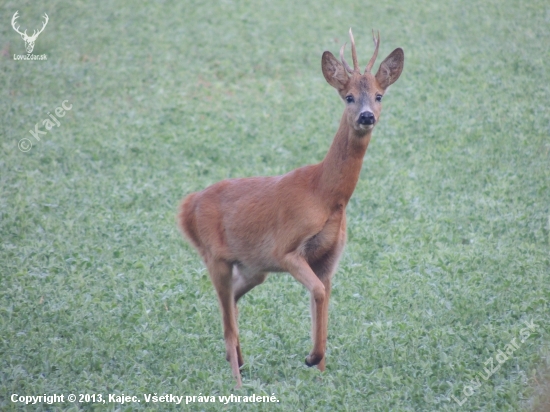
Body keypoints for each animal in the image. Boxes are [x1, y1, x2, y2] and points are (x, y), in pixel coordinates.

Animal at [180, 29, 406, 386]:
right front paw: (311, 358)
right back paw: (237, 382)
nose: (366, 116)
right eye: (348, 97)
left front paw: (321, 372)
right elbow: (317, 293)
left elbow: (323, 304)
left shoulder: (328, 259)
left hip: (252, 267)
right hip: (215, 256)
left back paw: (242, 362)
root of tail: (187, 207)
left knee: (233, 304)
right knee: (227, 322)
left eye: (379, 95)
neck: (325, 196)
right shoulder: (285, 250)